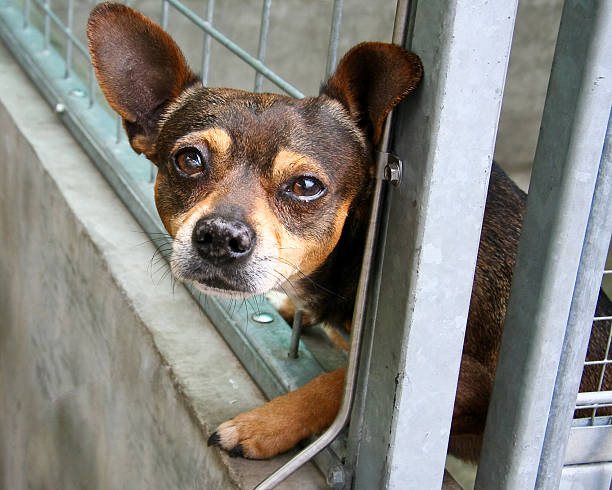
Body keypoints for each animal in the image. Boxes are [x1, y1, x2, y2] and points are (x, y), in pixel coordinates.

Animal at [88, 0, 608, 468]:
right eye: (189, 160)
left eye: (305, 186)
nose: (220, 235)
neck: (356, 255)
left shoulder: (469, 382)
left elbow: (337, 386)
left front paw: (263, 425)